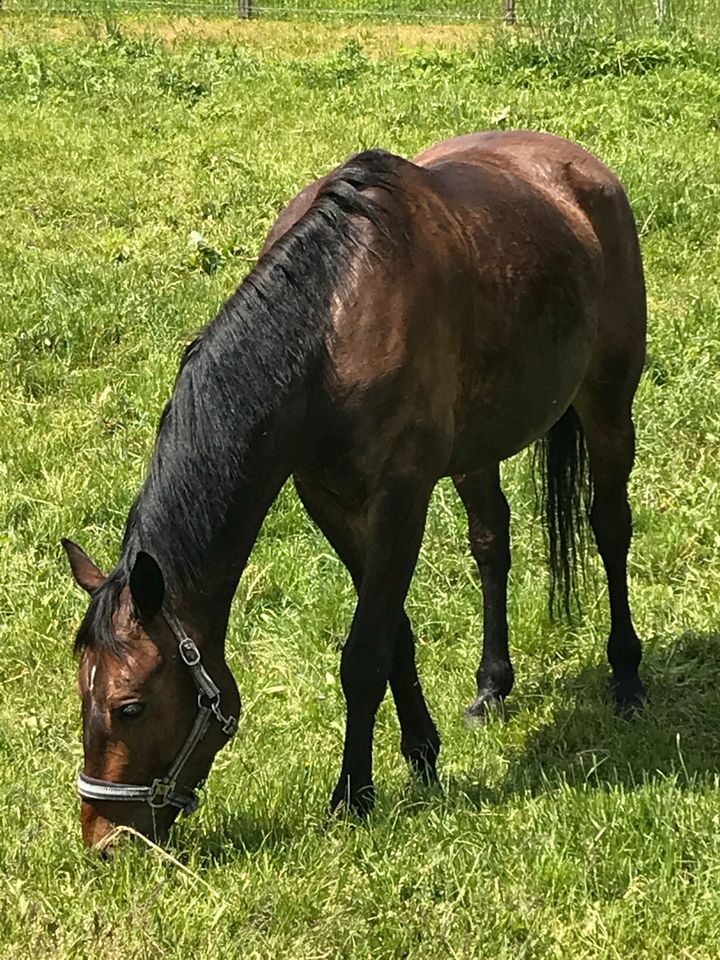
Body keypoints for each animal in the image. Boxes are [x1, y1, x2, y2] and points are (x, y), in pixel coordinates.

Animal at [63, 129, 648, 848]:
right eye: (82, 694)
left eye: (130, 705)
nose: (103, 837)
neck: (330, 326)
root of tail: (582, 168)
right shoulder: (328, 500)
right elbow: (395, 633)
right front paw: (423, 755)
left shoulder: (400, 497)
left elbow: (365, 651)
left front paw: (354, 794)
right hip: (476, 450)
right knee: (492, 543)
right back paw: (491, 687)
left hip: (608, 406)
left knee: (610, 526)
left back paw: (626, 675)